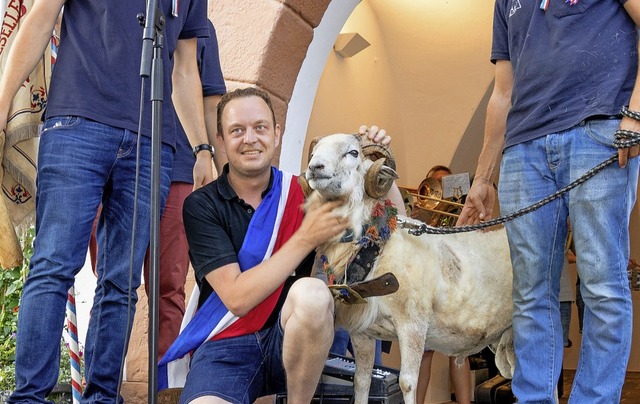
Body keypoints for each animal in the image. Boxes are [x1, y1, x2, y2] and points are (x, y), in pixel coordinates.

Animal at [300, 134, 516, 404]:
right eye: (314, 151)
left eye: (353, 153)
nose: (315, 167)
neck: (379, 248)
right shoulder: (362, 333)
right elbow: (361, 382)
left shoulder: (412, 325)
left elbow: (408, 383)